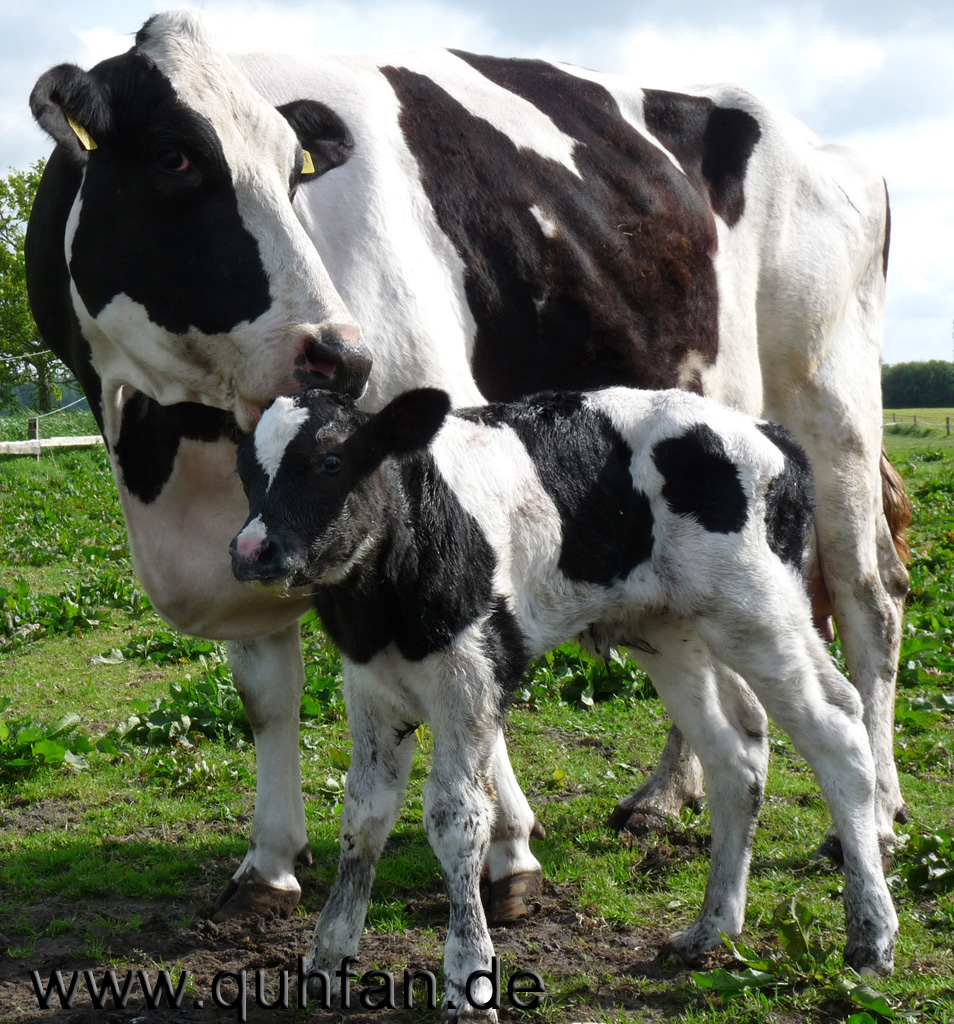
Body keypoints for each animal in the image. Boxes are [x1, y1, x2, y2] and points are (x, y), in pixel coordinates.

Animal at [24, 8, 908, 925]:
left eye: (292, 171)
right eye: (175, 156)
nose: (339, 354)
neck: (169, 444)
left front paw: (510, 852)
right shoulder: (251, 522)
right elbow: (267, 694)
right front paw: (269, 862)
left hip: (831, 397)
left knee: (869, 601)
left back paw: (873, 818)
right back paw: (668, 794)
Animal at [227, 385, 896, 1015]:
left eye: (331, 460)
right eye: (246, 472)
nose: (250, 550)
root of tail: (769, 431)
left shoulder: (472, 679)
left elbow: (458, 819)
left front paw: (469, 980)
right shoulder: (370, 689)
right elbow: (362, 820)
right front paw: (326, 958)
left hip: (760, 612)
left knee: (839, 728)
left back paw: (870, 936)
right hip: (669, 628)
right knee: (734, 759)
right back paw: (712, 928)